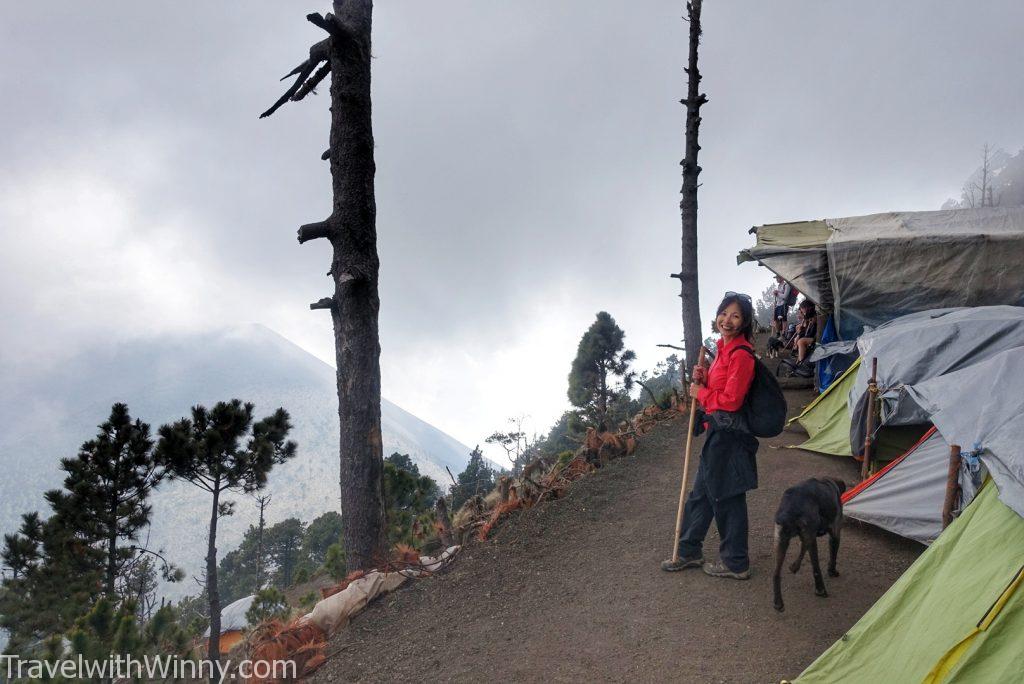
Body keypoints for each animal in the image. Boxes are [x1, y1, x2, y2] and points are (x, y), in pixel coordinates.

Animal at [770, 479, 843, 610]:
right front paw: (832, 571)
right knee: (811, 561)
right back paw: (819, 588)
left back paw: (778, 602)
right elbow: (833, 556)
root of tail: (790, 509)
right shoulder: (835, 534)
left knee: (776, 573)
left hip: (781, 542)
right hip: (809, 533)